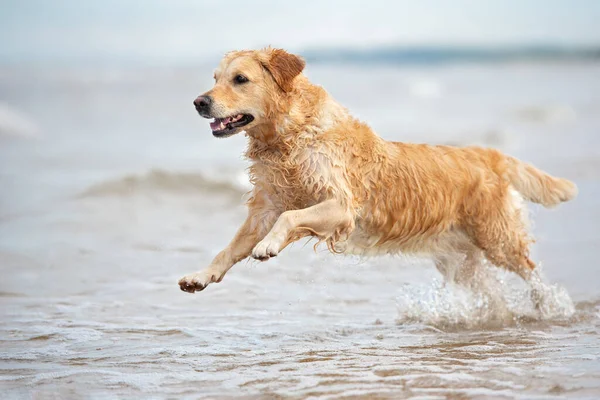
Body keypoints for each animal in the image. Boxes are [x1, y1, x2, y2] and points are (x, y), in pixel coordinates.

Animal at [177, 48, 576, 296]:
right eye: (215, 78)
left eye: (240, 79)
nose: (198, 101)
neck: (289, 137)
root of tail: (486, 153)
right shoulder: (266, 208)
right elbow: (230, 247)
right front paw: (202, 275)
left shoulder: (340, 206)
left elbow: (289, 218)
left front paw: (269, 246)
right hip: (461, 258)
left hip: (497, 239)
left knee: (531, 270)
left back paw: (548, 304)